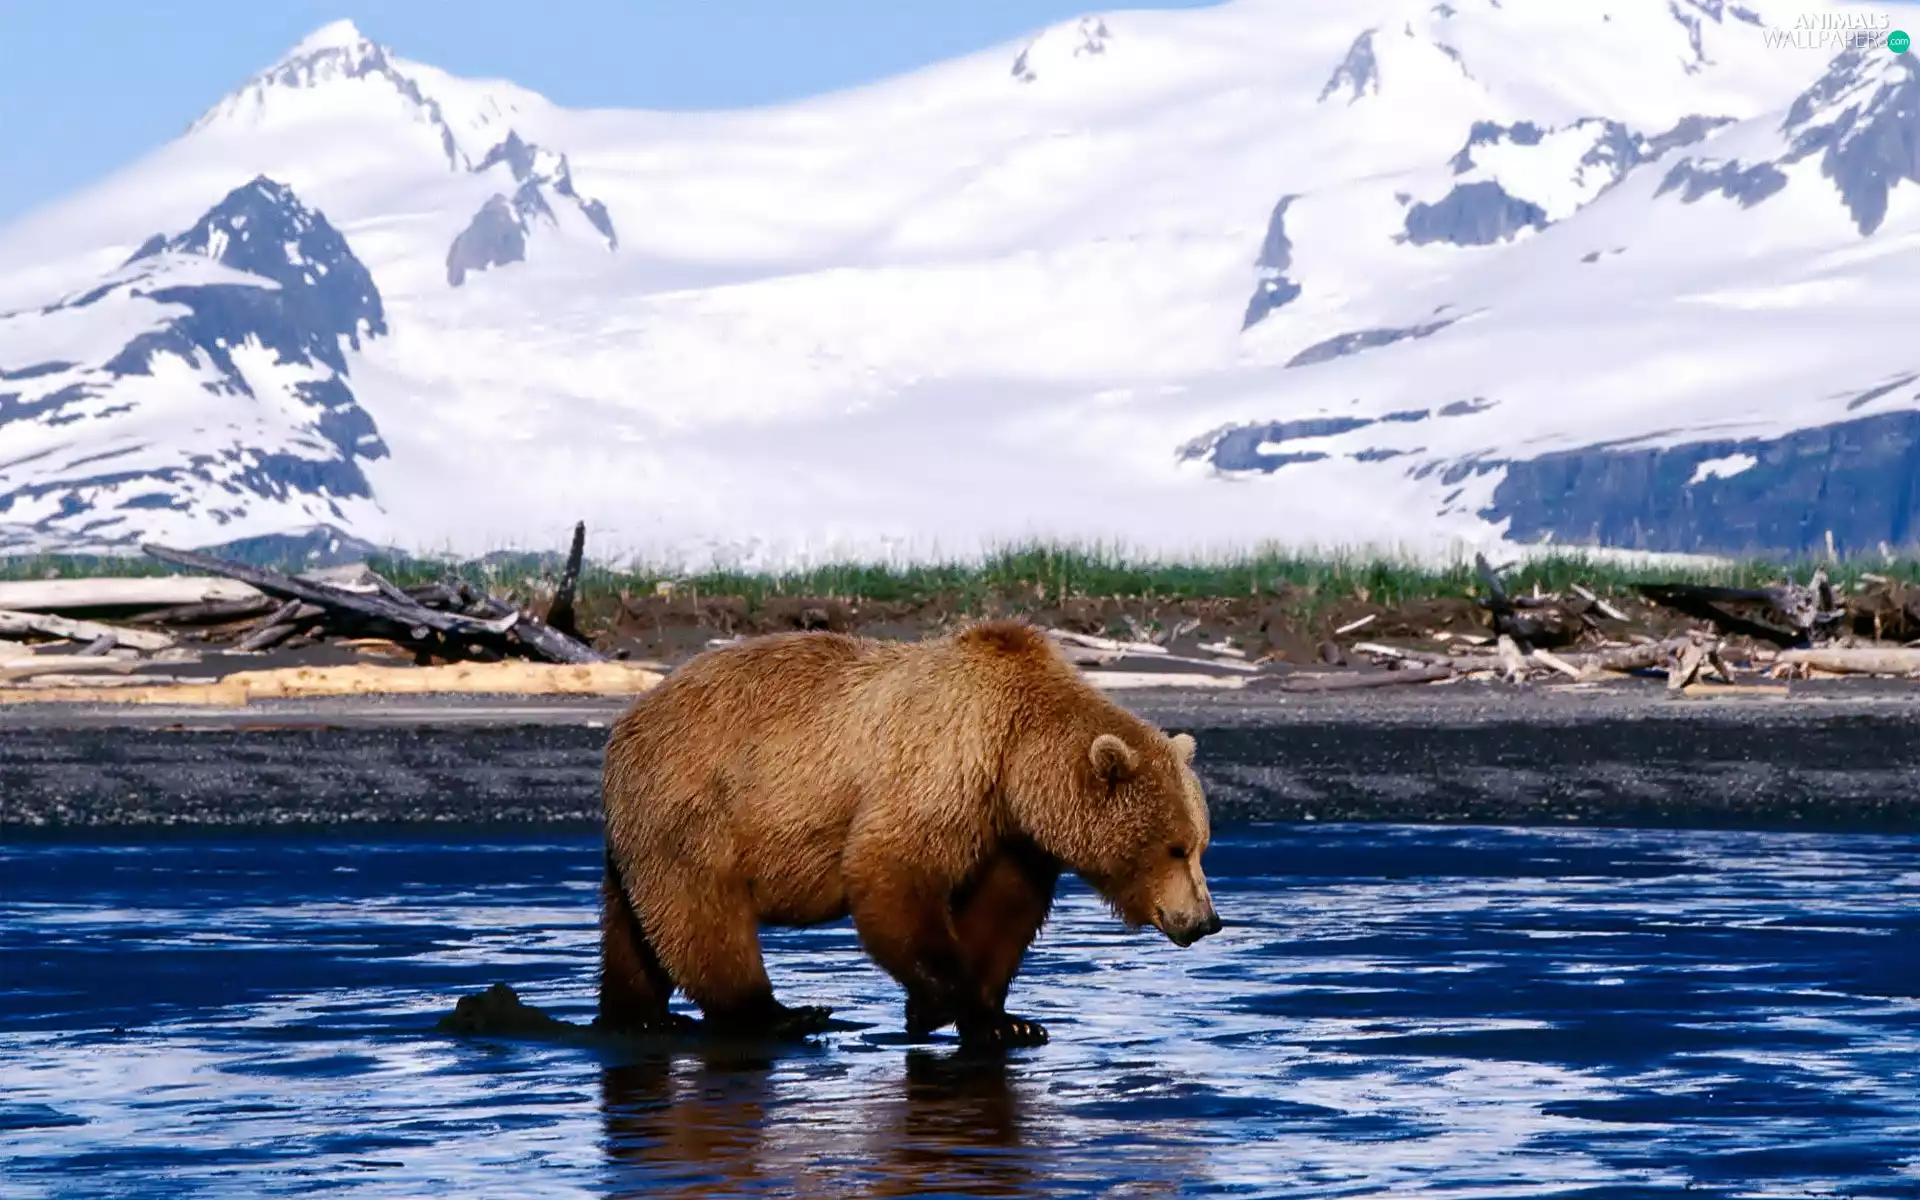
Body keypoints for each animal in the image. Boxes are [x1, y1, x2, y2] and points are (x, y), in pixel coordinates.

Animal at [597, 617, 1222, 1049]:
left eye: (1200, 845)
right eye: (1174, 848)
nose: (1206, 920)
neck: (1015, 756)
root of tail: (626, 722)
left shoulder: (1011, 835)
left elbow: (1003, 914)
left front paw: (1006, 1021)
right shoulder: (944, 768)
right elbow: (892, 870)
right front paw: (947, 1005)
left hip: (643, 828)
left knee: (635, 926)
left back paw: (639, 1014)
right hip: (697, 805)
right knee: (702, 912)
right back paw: (779, 1014)